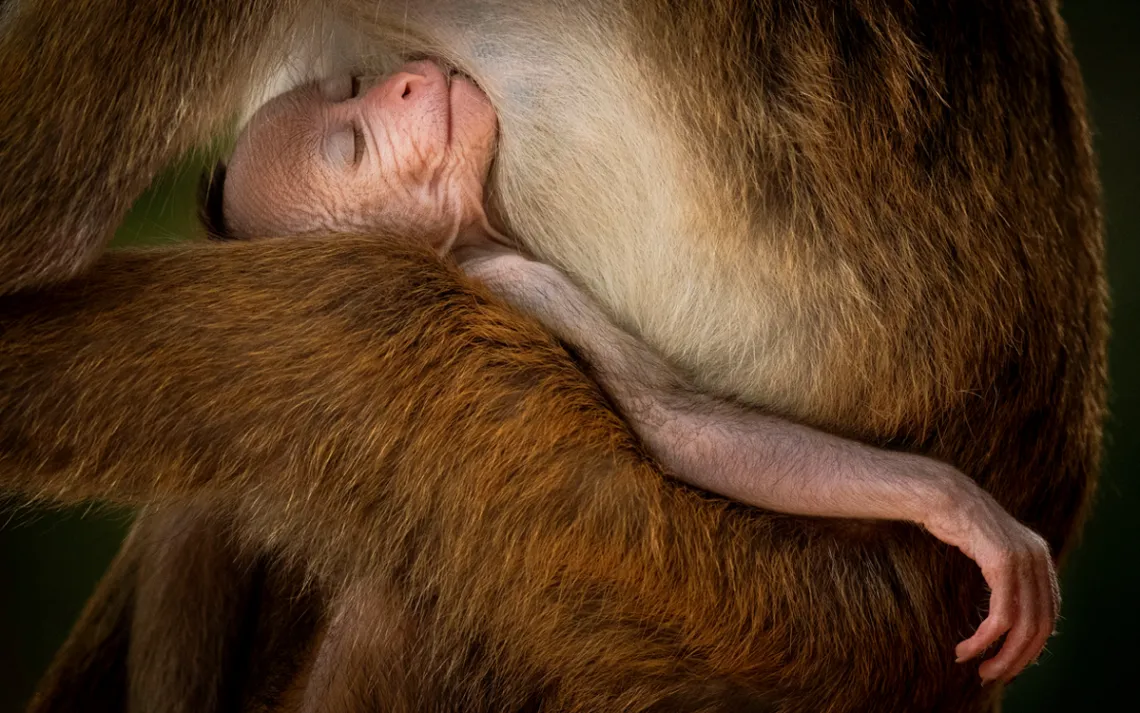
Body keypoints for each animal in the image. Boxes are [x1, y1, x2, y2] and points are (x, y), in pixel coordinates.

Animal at [0, 1, 1106, 712]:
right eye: (349, 147)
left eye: (353, 89)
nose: (409, 79)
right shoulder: (521, 279)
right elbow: (675, 427)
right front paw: (953, 504)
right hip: (748, 626)